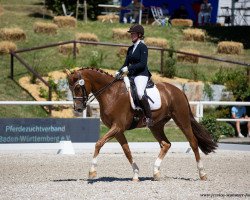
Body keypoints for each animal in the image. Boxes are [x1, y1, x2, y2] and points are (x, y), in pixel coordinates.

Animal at [66, 67, 217, 181]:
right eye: (70, 87)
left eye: (78, 87)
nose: (78, 108)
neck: (111, 94)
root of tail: (178, 90)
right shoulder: (117, 130)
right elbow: (127, 151)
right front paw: (136, 174)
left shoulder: (117, 127)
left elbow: (98, 143)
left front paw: (92, 171)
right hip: (156, 125)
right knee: (166, 144)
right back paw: (156, 173)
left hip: (182, 120)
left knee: (193, 142)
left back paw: (202, 174)